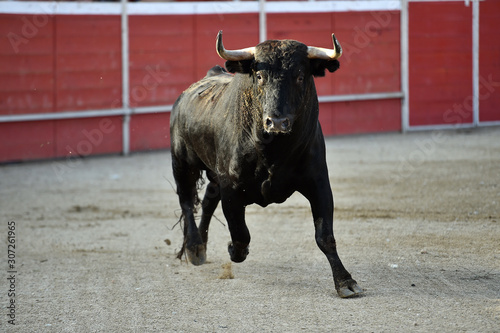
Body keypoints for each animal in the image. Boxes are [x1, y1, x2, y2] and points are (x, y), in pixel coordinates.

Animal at [171, 30, 364, 296]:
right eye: (260, 76)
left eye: (300, 76)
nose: (277, 121)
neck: (273, 151)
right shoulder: (231, 186)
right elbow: (240, 233)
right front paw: (233, 250)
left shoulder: (319, 183)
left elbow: (325, 235)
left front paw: (345, 281)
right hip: (181, 162)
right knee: (187, 201)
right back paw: (194, 247)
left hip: (214, 172)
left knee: (208, 200)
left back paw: (202, 244)